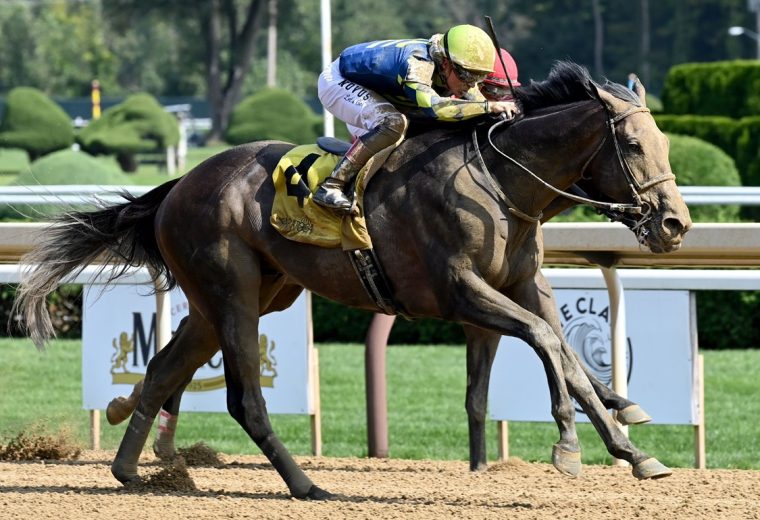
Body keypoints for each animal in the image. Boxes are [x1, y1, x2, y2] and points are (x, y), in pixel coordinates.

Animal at [13, 63, 688, 498]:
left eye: (665, 140)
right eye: (633, 144)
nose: (675, 223)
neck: (498, 182)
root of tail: (179, 185)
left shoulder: (526, 284)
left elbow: (570, 355)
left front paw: (631, 445)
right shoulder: (457, 291)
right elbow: (548, 344)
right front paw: (570, 445)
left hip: (240, 297)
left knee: (161, 370)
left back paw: (130, 469)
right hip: (233, 296)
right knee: (244, 399)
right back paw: (306, 485)